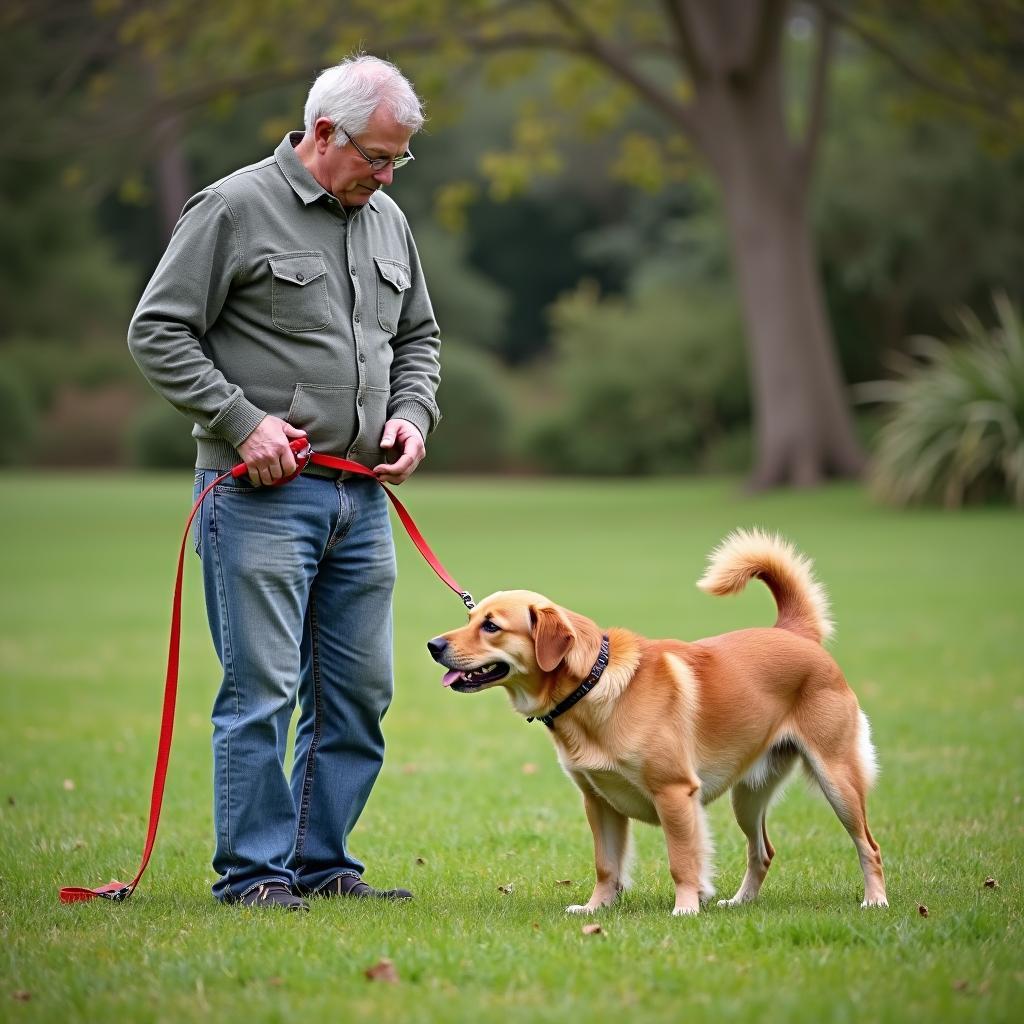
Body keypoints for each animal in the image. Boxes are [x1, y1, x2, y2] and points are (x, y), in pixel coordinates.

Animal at [428, 532, 884, 917]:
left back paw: (875, 900)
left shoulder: (675, 794)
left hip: (837, 778)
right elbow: (606, 866)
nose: (433, 645)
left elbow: (682, 862)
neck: (593, 685)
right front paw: (595, 909)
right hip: (749, 796)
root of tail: (795, 633)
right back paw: (740, 902)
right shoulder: (599, 801)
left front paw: (686, 908)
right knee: (763, 851)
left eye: (491, 626)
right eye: (470, 619)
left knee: (869, 845)